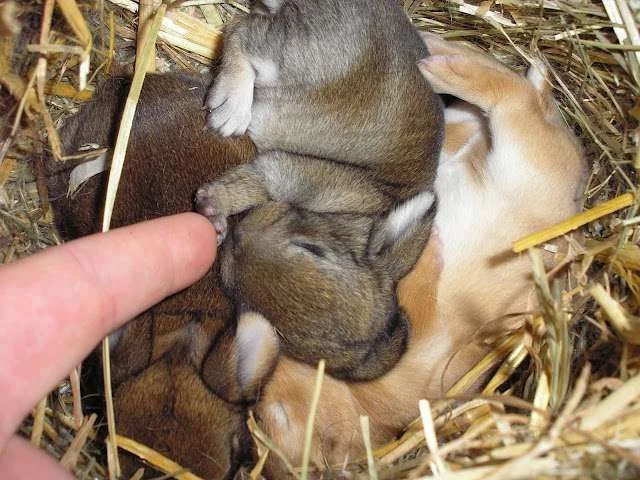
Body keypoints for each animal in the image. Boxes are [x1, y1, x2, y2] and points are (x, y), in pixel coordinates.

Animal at [195, 0, 443, 382]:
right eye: (312, 250)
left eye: (244, 302)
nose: (237, 238)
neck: (358, 211)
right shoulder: (287, 173)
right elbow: (248, 185)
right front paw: (211, 208)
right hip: (288, 56)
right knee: (241, 32)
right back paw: (230, 111)